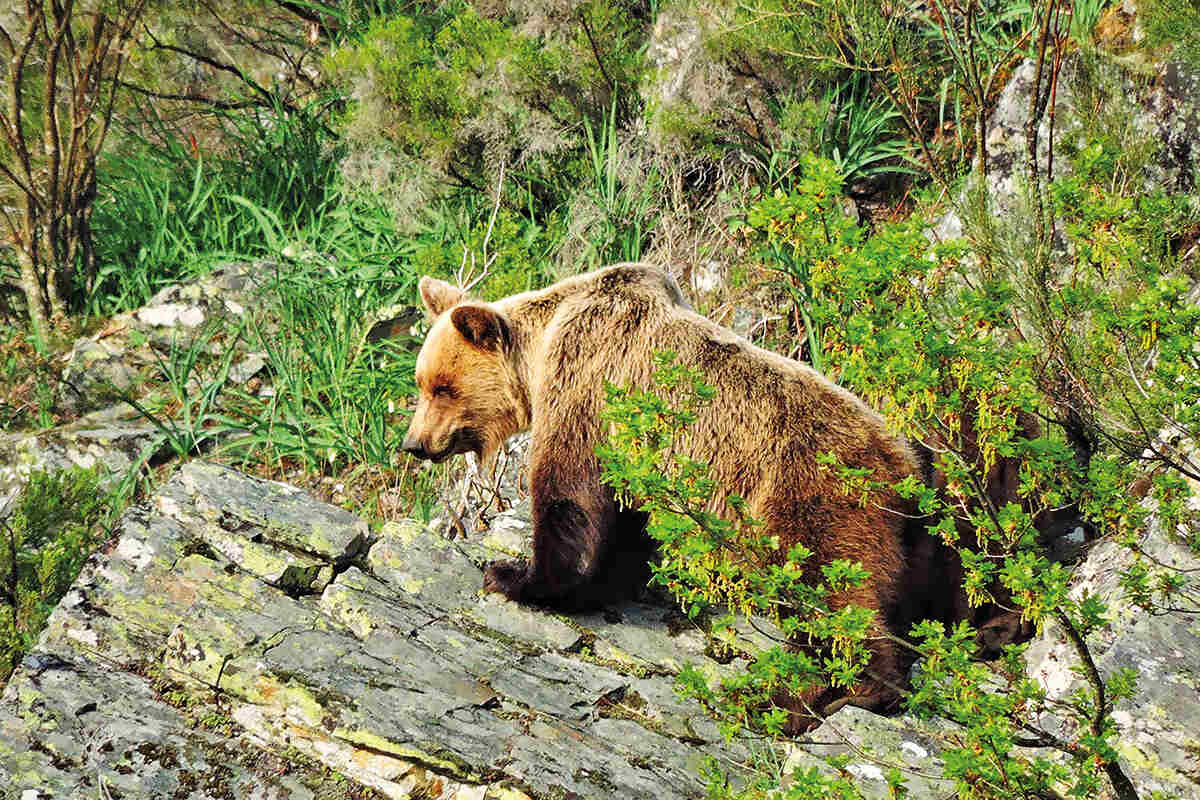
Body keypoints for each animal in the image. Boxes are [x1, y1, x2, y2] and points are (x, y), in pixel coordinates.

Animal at [408, 262, 940, 724]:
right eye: (423, 382)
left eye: (442, 387)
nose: (414, 443)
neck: (539, 351)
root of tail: (907, 467)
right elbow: (622, 522)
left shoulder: (589, 378)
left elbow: (569, 492)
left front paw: (513, 575)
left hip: (812, 497)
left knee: (825, 594)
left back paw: (810, 696)